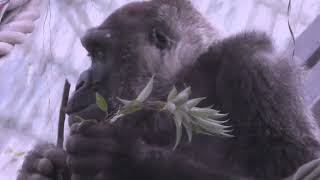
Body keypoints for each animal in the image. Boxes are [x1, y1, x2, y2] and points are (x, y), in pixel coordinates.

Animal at [16, 0, 320, 180]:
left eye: (100, 54)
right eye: (92, 54)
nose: (81, 81)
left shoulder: (256, 67)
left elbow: (297, 162)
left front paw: (123, 156)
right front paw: (41, 164)